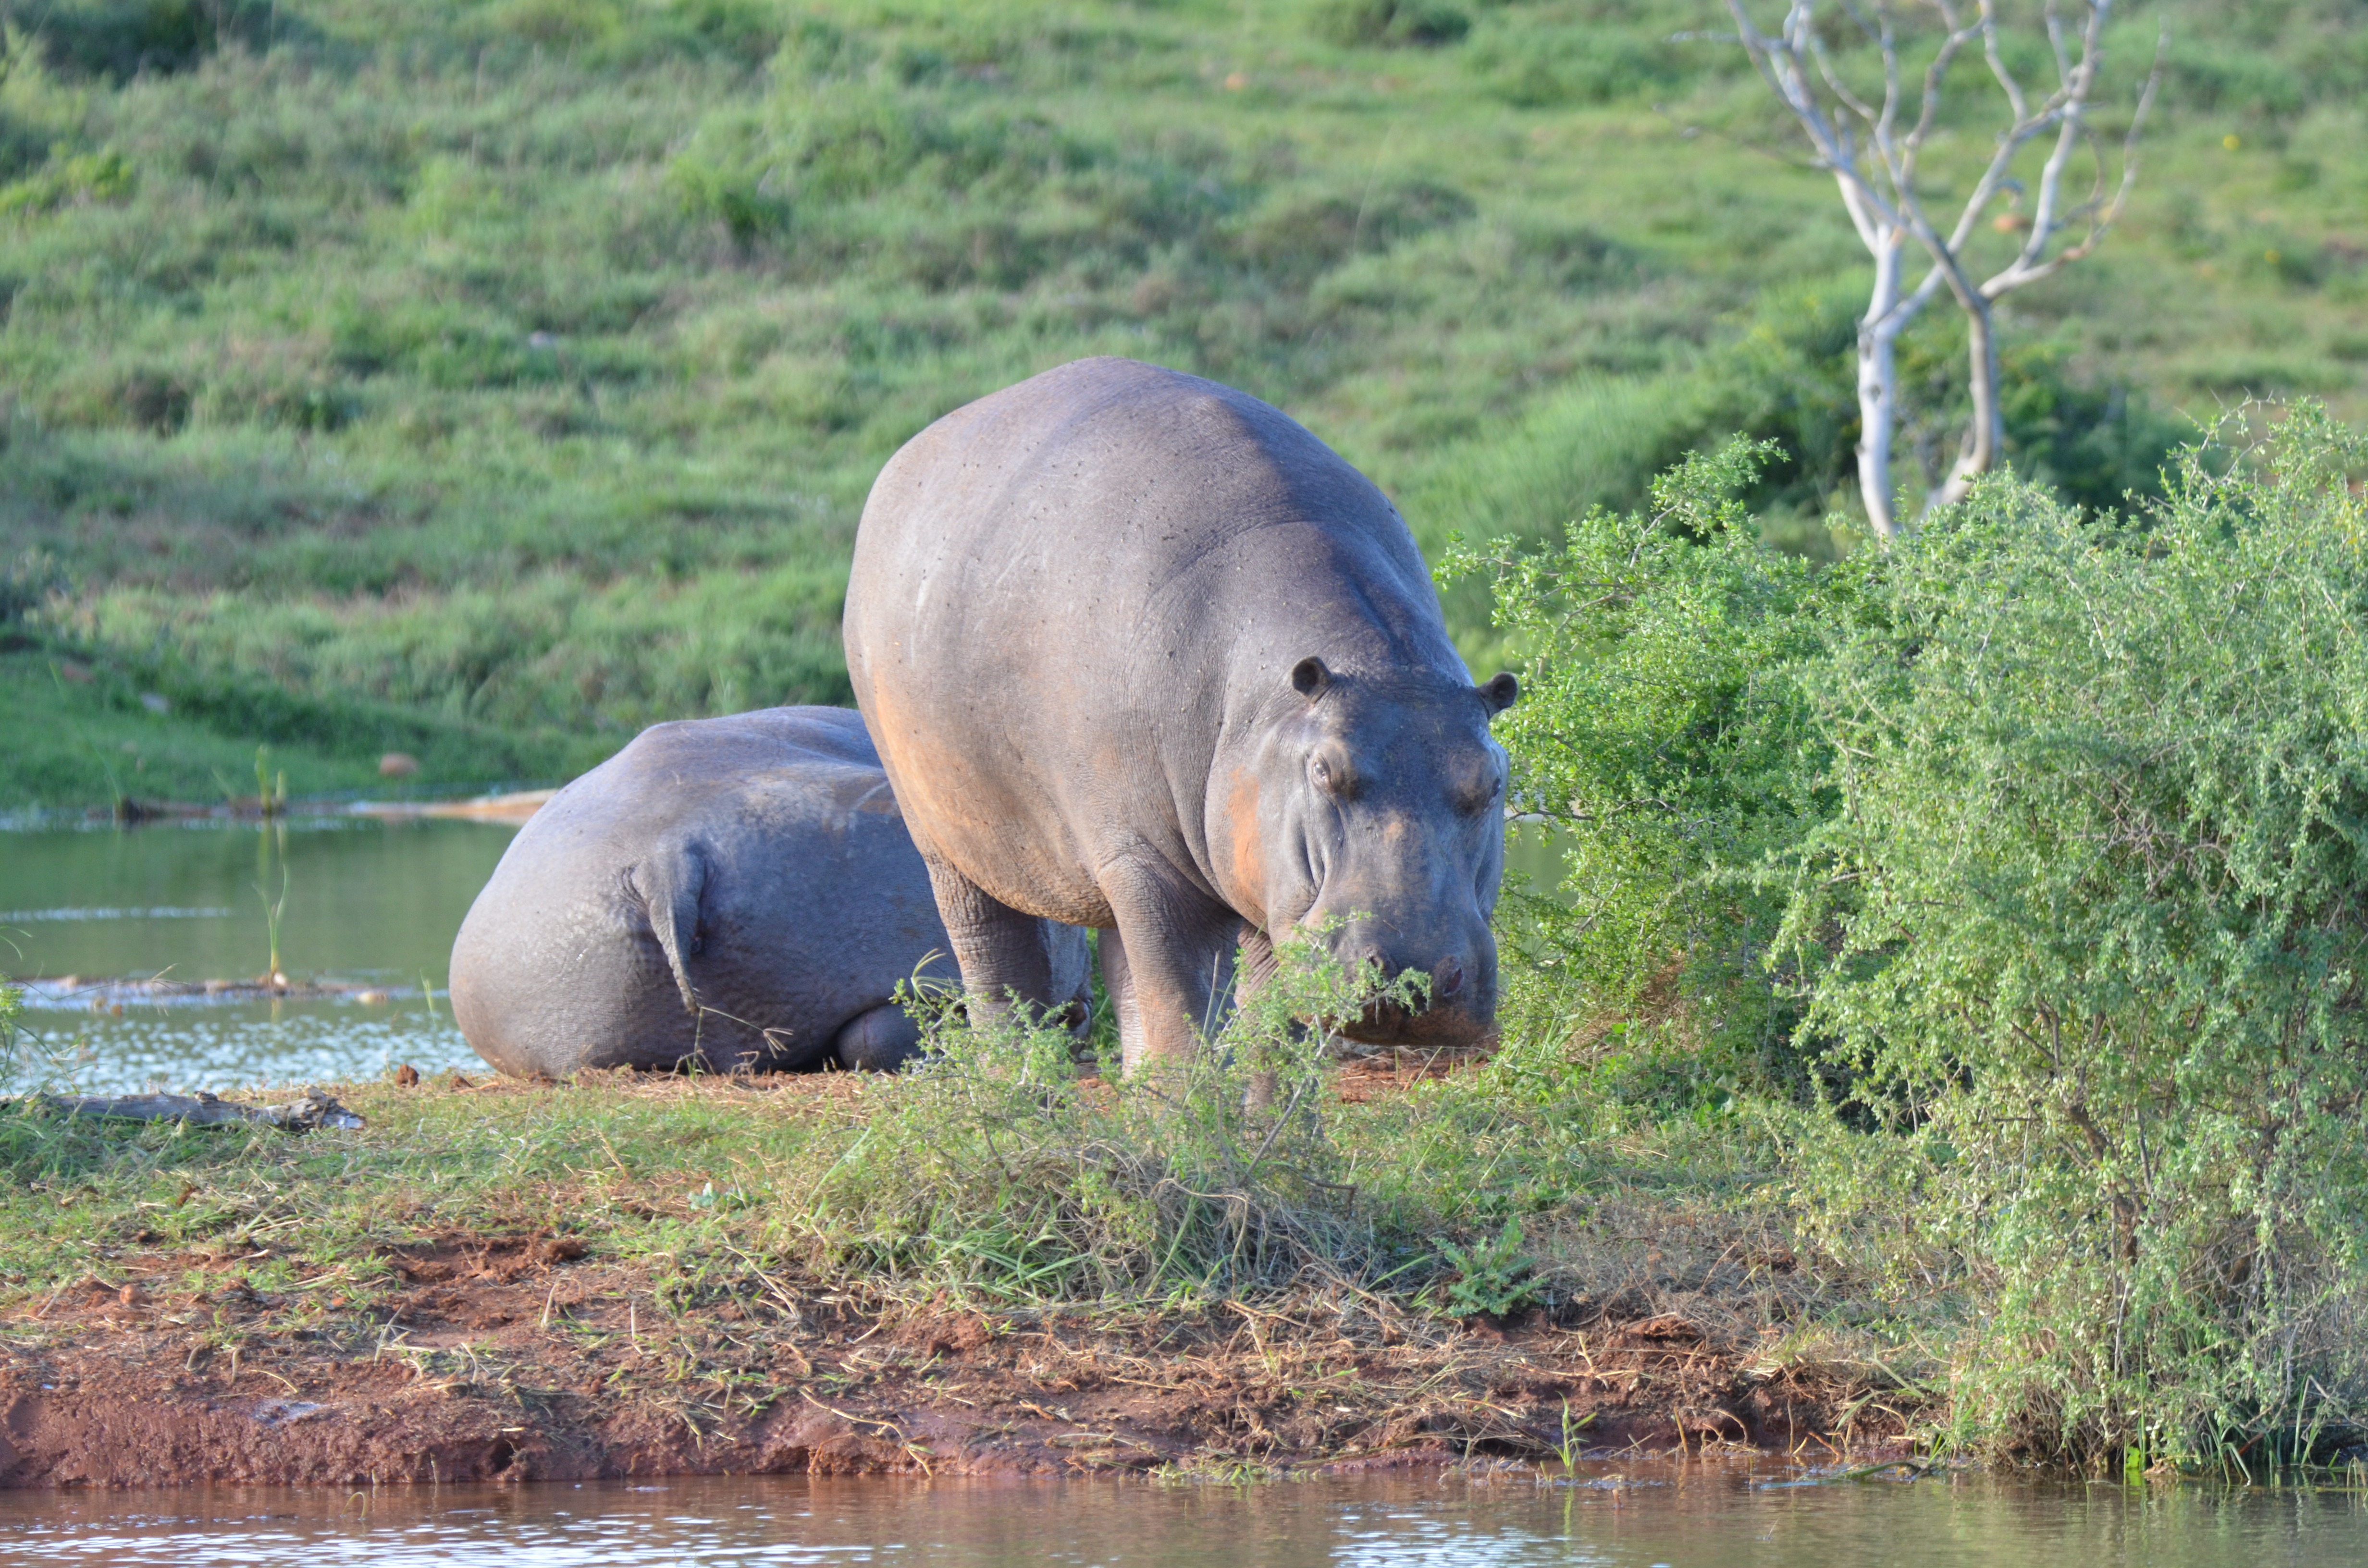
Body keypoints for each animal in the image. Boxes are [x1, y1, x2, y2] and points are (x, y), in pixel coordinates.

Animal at [844, 357, 1518, 1071]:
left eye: (1492, 783)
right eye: (1323, 772)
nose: (1417, 978)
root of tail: (906, 457)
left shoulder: (1259, 892)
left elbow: (1270, 1037)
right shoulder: (1150, 866)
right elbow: (1183, 1012)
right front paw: (1192, 1104)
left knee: (1123, 975)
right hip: (954, 843)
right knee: (999, 971)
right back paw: (1021, 1084)